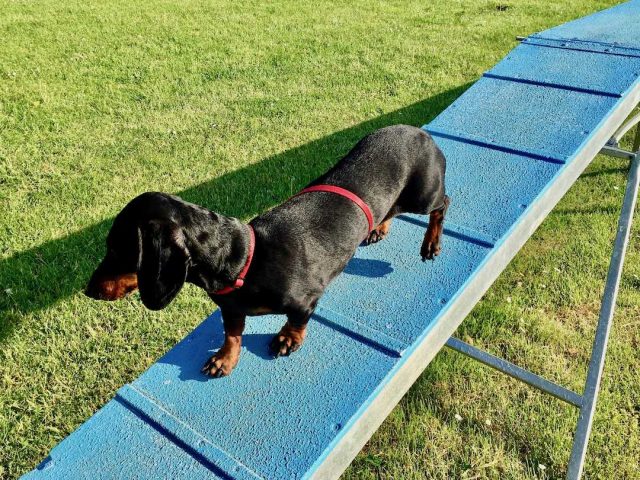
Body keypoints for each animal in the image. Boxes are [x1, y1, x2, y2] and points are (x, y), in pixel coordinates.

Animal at [85, 124, 448, 378]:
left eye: (117, 250)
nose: (89, 291)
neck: (246, 259)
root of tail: (421, 133)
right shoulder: (230, 309)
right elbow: (232, 334)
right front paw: (225, 358)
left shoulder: (306, 301)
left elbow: (297, 321)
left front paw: (288, 338)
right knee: (391, 209)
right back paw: (379, 227)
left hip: (423, 196)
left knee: (443, 203)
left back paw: (430, 243)